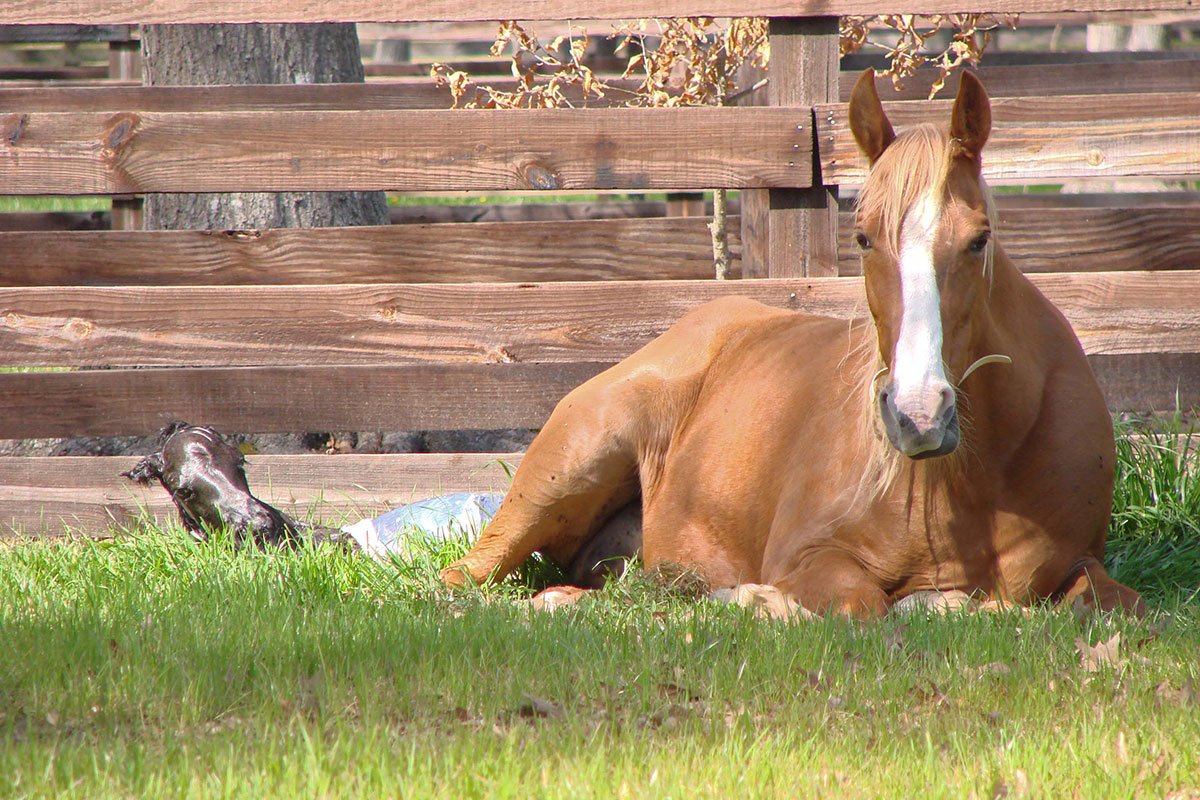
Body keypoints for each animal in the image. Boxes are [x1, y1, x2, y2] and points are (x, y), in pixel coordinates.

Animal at [440, 70, 1145, 617]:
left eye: (979, 239)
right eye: (862, 237)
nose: (918, 414)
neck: (972, 478)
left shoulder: (1082, 564)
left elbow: (1111, 601)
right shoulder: (812, 554)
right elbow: (864, 604)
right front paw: (759, 600)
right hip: (563, 472)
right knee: (460, 583)